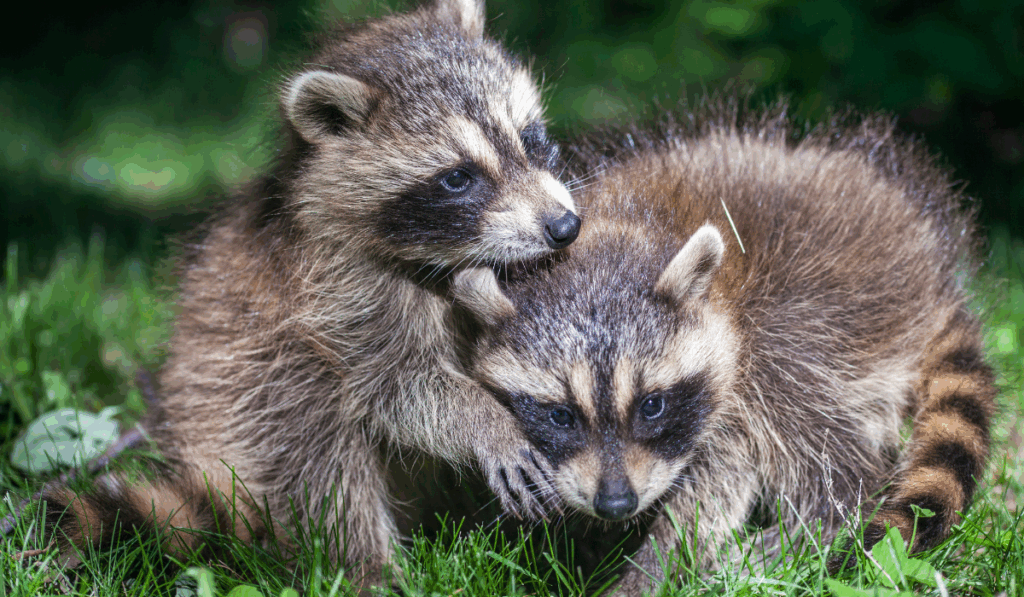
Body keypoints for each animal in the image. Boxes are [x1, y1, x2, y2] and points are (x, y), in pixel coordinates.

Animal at [37, 0, 578, 585]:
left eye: (530, 137)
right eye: (458, 178)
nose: (564, 226)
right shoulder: (337, 290)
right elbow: (395, 387)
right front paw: (486, 421)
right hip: (245, 401)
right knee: (317, 447)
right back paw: (369, 569)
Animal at [453, 103, 996, 593]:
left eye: (653, 406)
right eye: (560, 416)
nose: (616, 505)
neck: (620, 230)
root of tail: (937, 274)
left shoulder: (736, 359)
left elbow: (718, 483)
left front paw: (653, 567)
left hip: (828, 304)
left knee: (818, 433)